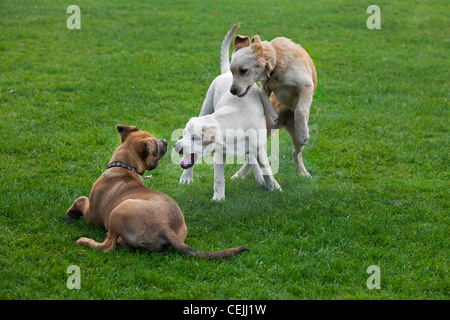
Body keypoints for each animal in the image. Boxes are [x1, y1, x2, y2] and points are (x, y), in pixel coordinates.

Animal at [66, 125, 250, 260]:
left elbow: (81, 199)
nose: (166, 141)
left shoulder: (92, 214)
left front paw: (71, 214)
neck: (123, 167)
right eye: (157, 142)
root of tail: (165, 227)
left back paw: (85, 241)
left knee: (108, 246)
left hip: (119, 210)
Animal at [174, 24, 280, 200]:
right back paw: (186, 177)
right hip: (207, 105)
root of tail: (226, 73)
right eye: (183, 134)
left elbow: (266, 168)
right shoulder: (219, 153)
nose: (176, 146)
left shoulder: (259, 148)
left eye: (195, 138)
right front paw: (218, 199)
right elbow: (218, 178)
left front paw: (274, 188)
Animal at [229, 31, 316, 176]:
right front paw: (271, 114)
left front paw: (303, 133)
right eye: (231, 72)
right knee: (253, 156)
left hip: (296, 140)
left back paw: (303, 172)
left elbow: (300, 110)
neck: (277, 63)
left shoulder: (306, 86)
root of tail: (284, 121)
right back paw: (239, 175)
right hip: (263, 131)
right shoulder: (266, 86)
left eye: (243, 70)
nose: (232, 90)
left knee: (296, 152)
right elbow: (261, 94)